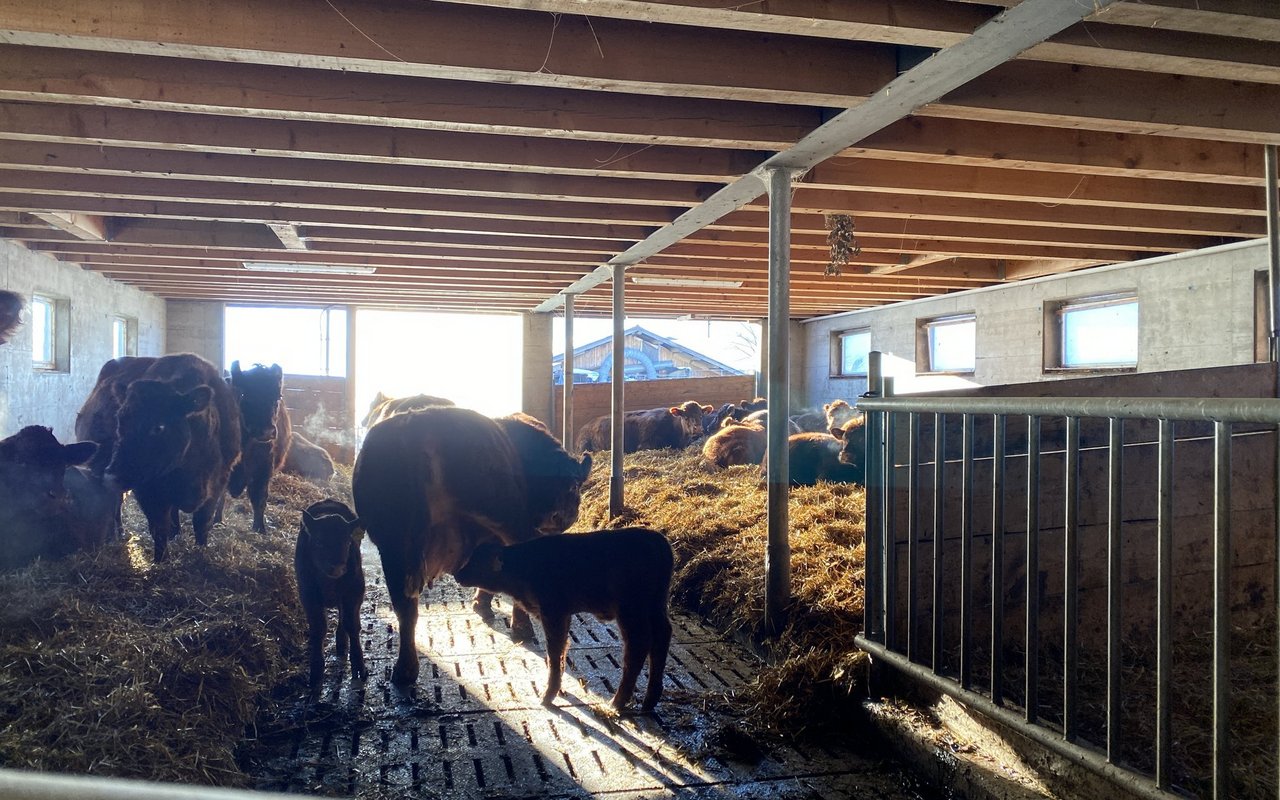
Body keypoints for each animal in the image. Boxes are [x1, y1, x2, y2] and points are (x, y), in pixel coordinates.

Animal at [104, 353, 241, 561]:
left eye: (159, 426)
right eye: (120, 421)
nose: (111, 476)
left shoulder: (218, 482)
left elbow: (202, 522)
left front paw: (201, 551)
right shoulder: (147, 490)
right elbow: (159, 526)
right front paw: (161, 560)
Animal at [228, 362, 292, 533]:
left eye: (278, 396)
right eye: (244, 394)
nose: (266, 431)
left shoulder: (264, 469)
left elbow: (259, 498)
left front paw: (259, 528)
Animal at [295, 499, 366, 697]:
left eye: (347, 542)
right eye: (319, 542)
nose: (337, 567)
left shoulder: (355, 589)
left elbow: (352, 625)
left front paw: (358, 665)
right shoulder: (307, 594)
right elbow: (318, 628)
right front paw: (316, 671)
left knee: (344, 617)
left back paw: (342, 644)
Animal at [352, 406, 592, 686]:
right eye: (573, 486)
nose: (561, 515)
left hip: (393, 549)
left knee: (405, 609)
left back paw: (404, 672)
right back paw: (523, 630)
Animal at [454, 527, 673, 713]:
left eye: (477, 562)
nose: (458, 574)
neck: (523, 567)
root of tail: (656, 540)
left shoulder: (554, 613)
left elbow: (553, 652)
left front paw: (548, 696)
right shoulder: (564, 615)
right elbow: (561, 652)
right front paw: (559, 691)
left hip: (631, 611)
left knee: (638, 646)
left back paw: (616, 703)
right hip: (656, 606)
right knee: (661, 638)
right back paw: (649, 701)